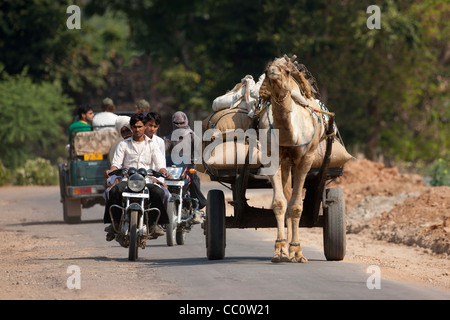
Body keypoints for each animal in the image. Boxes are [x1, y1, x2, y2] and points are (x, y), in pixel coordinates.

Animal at [258, 57, 326, 262]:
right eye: (266, 70)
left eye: (287, 71)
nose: (272, 71)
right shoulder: (271, 158)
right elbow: (280, 203)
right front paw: (280, 250)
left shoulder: (306, 159)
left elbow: (296, 206)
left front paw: (296, 251)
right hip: (285, 163)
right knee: (286, 196)